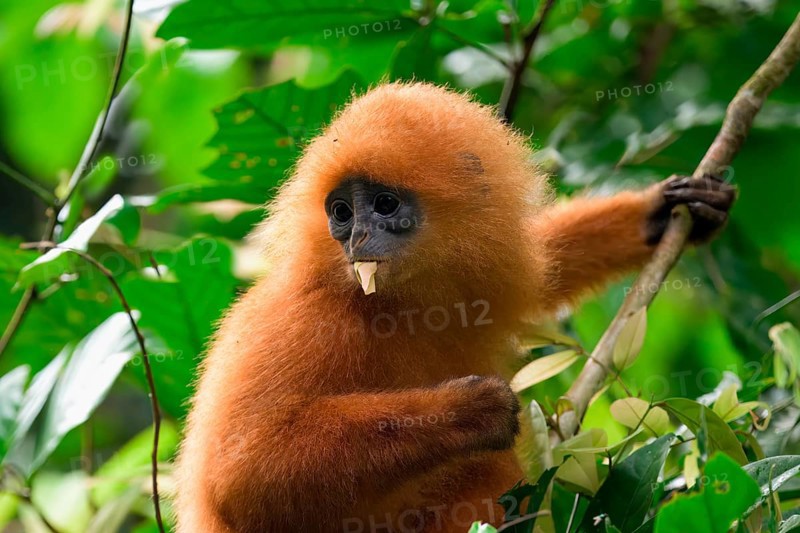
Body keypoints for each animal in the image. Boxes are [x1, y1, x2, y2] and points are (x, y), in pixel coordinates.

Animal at [174, 82, 735, 533]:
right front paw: (469, 411)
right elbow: (239, 479)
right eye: (341, 212)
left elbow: (547, 263)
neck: (404, 304)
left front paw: (658, 213)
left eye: (383, 205)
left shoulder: (495, 274)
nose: (355, 238)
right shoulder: (307, 319)